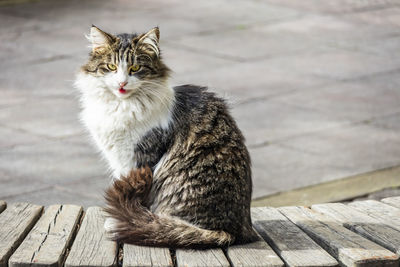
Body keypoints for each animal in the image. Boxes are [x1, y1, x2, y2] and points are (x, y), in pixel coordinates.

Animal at [75, 26, 256, 248]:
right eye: (111, 67)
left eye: (135, 68)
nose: (122, 83)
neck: (121, 105)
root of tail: (233, 232)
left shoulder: (139, 157)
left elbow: (133, 192)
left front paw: (119, 219)